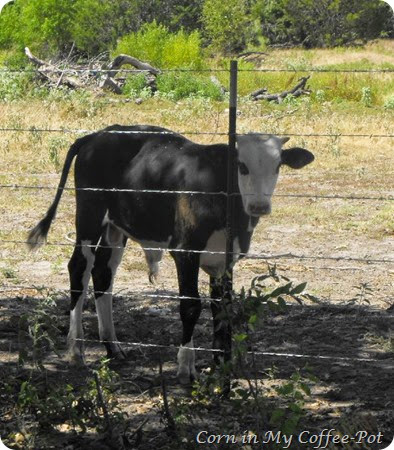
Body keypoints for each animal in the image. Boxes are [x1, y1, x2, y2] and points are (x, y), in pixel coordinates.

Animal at [26, 125, 314, 384]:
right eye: (241, 166)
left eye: (277, 166)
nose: (259, 206)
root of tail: (97, 135)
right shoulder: (185, 253)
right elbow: (191, 306)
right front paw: (186, 366)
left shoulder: (225, 259)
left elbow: (222, 308)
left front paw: (222, 363)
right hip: (89, 216)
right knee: (79, 268)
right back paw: (76, 349)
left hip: (115, 228)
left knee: (103, 274)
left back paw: (113, 347)